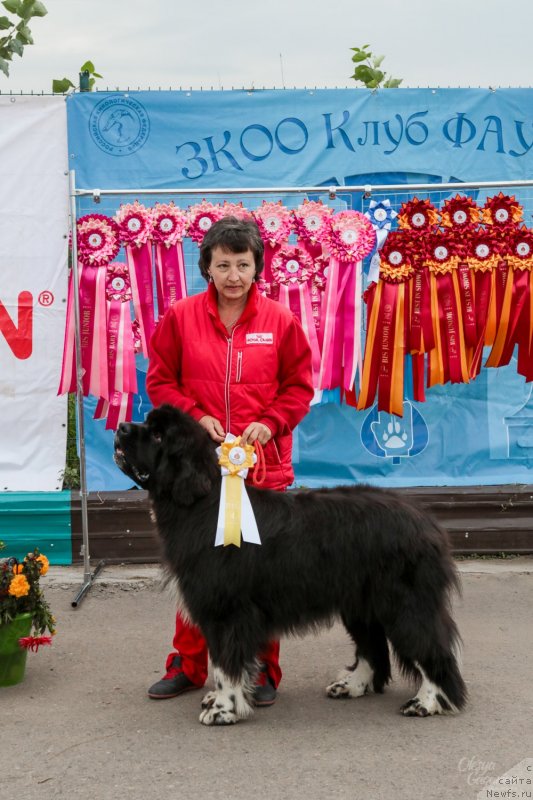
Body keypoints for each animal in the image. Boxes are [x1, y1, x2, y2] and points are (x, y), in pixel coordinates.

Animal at [113, 406, 466, 724]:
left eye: (158, 435)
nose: (120, 427)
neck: (202, 503)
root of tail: (427, 522)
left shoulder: (226, 611)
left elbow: (226, 665)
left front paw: (223, 709)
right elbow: (224, 662)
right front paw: (220, 699)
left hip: (407, 604)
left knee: (430, 647)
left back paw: (427, 702)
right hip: (359, 603)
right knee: (372, 647)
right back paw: (351, 685)